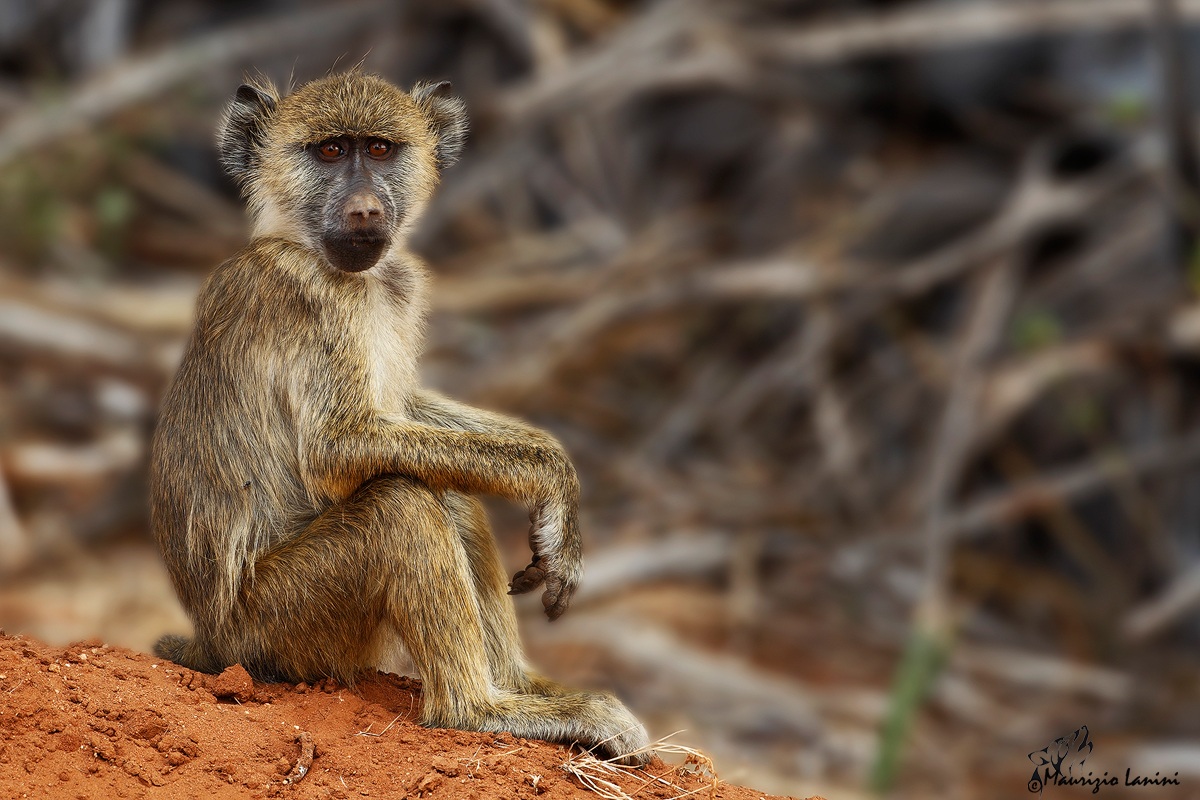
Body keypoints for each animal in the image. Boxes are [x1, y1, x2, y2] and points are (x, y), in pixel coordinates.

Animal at [149, 71, 650, 765]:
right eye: (331, 151)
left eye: (381, 150)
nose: (364, 210)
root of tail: (213, 644)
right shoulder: (308, 296)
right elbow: (340, 446)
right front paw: (551, 482)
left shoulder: (400, 286)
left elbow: (403, 412)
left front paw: (557, 492)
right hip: (280, 627)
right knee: (399, 504)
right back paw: (480, 710)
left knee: (447, 492)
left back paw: (526, 688)